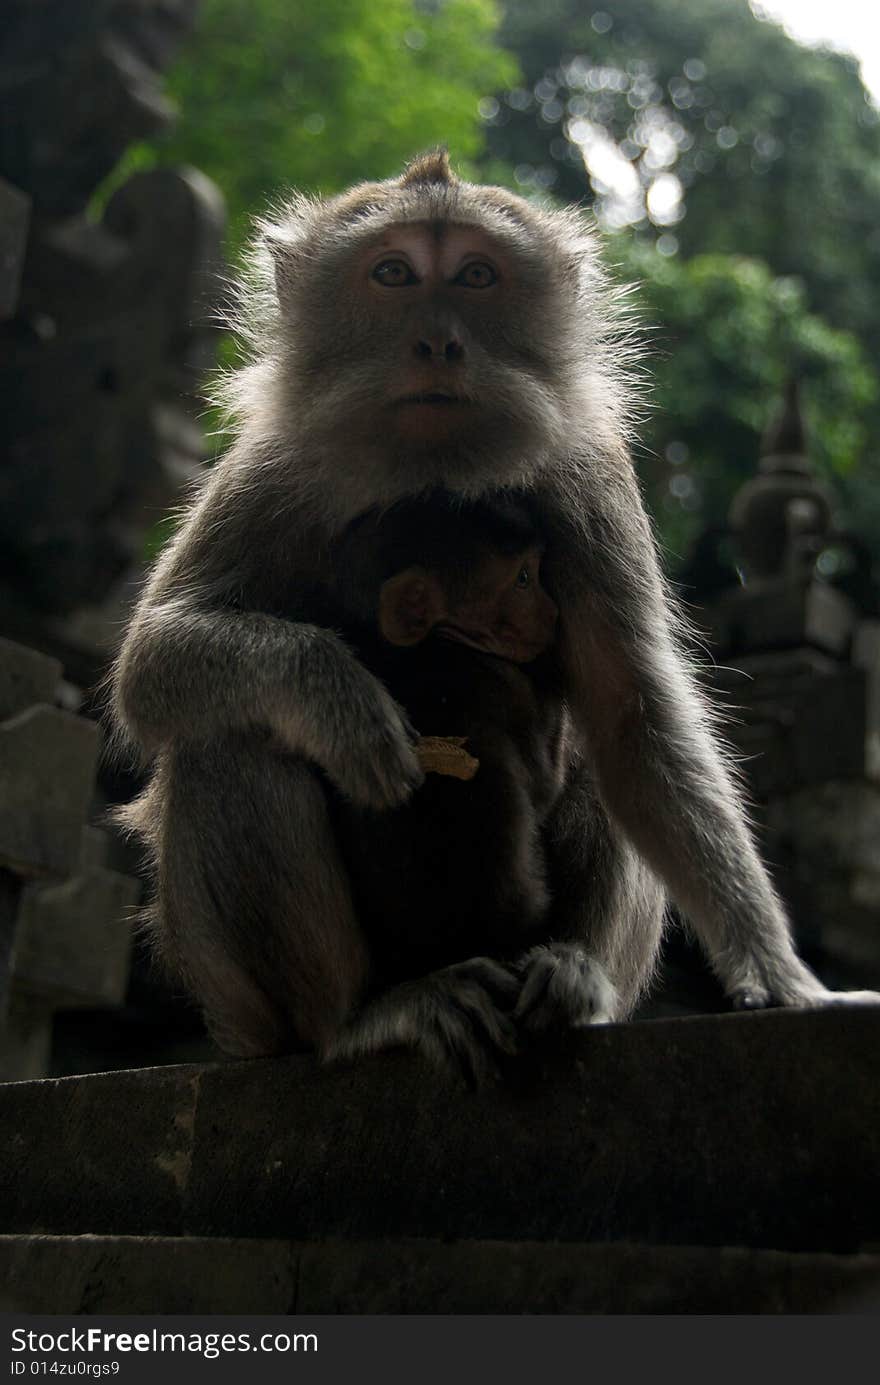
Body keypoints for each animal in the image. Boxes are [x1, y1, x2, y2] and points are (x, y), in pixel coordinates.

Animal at [113, 148, 875, 1069]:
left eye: (477, 275)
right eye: (394, 274)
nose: (439, 342)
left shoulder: (592, 474)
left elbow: (632, 711)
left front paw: (780, 973)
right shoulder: (272, 467)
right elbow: (151, 664)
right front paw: (340, 697)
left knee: (608, 751)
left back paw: (573, 977)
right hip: (251, 1011)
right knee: (224, 742)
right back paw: (362, 1019)